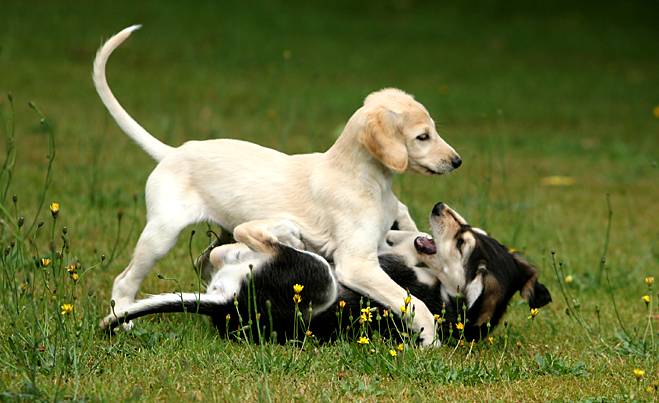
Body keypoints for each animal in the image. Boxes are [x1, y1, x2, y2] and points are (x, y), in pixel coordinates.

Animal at [95, 26, 462, 348]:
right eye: (422, 137)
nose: (457, 161)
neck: (366, 178)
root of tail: (172, 152)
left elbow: (405, 220)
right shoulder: (357, 263)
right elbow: (413, 301)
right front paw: (429, 338)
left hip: (221, 232)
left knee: (205, 260)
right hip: (162, 233)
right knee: (126, 280)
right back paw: (123, 322)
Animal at [107, 202, 552, 344]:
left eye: (462, 244)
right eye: (471, 234)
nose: (440, 206)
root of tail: (228, 303)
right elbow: (398, 229)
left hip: (319, 276)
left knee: (249, 239)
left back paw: (279, 230)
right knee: (220, 253)